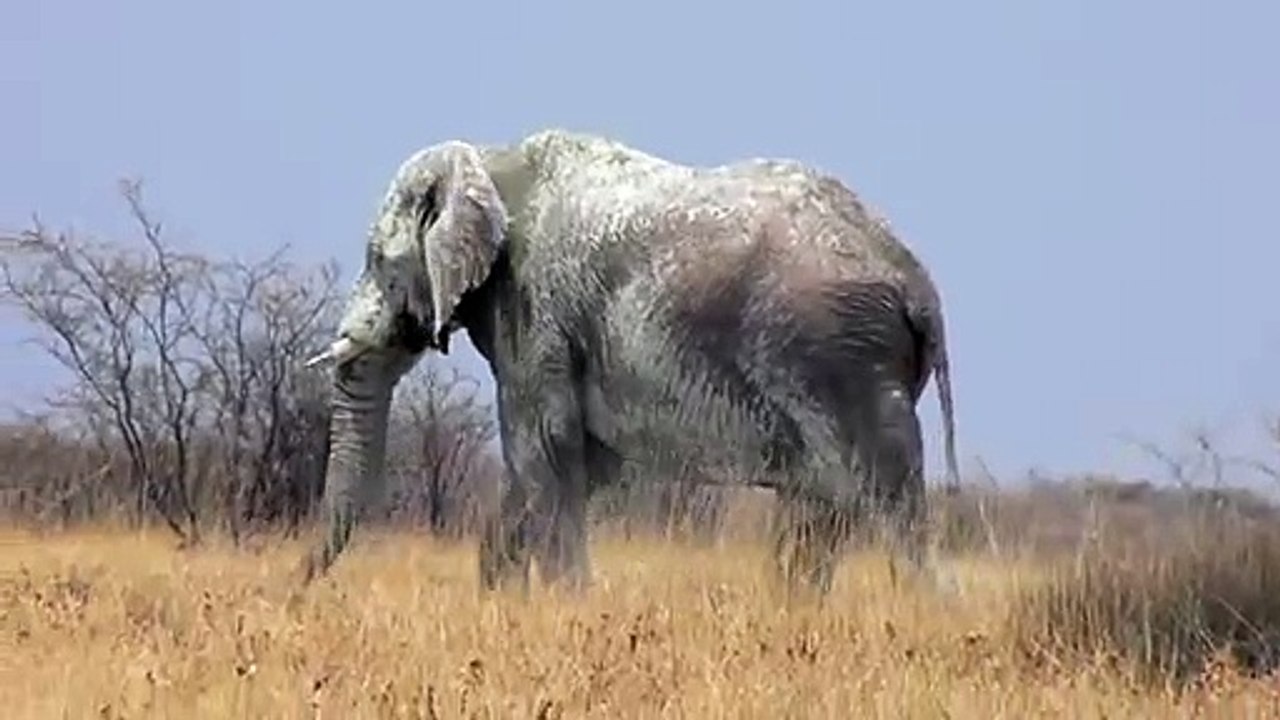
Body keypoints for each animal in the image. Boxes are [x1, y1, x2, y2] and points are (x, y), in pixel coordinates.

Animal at [298, 128, 960, 594]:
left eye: (380, 263)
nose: (299, 591)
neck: (492, 160)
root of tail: (917, 283)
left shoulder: (536, 310)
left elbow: (544, 451)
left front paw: (566, 608)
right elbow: (555, 469)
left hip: (841, 359)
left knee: (886, 501)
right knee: (821, 514)